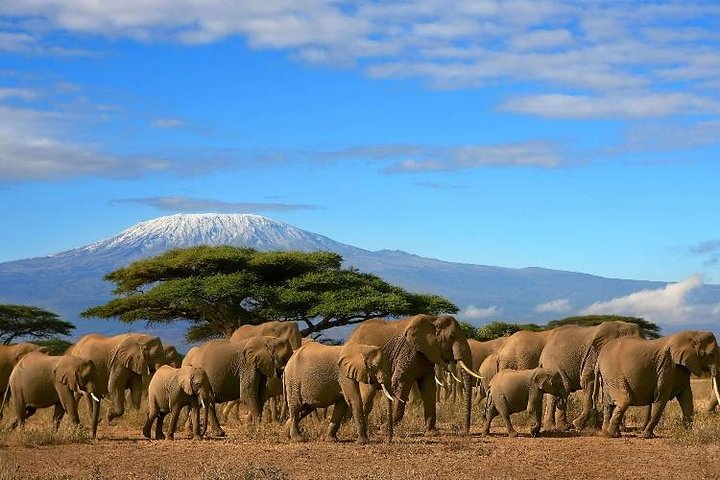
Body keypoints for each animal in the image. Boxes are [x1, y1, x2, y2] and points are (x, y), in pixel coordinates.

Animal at [346, 314, 481, 435]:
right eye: (451, 336)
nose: (465, 431)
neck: (434, 319)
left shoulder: (426, 354)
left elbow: (429, 386)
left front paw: (431, 433)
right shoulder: (408, 351)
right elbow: (401, 382)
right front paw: (385, 430)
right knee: (367, 393)